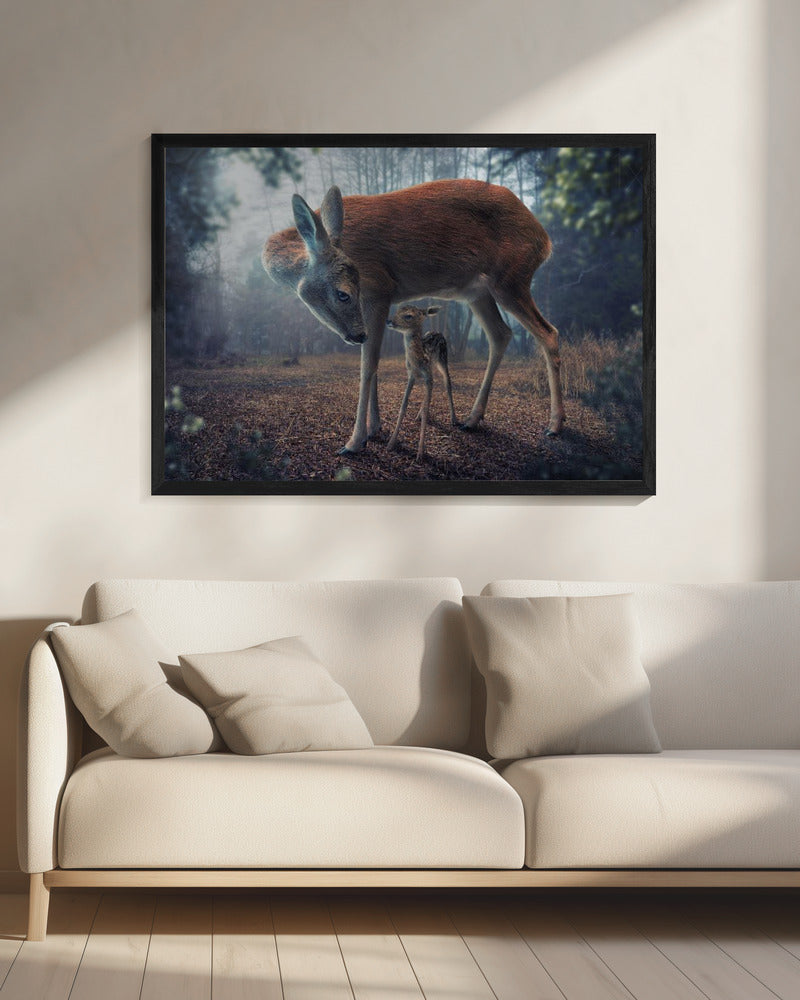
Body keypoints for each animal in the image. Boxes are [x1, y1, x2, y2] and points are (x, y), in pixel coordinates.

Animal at [386, 305, 457, 461]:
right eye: (397, 310)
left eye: (408, 316)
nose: (389, 321)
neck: (417, 360)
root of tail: (438, 331)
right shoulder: (411, 375)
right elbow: (403, 405)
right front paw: (391, 443)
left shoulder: (427, 375)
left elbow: (426, 408)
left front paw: (420, 453)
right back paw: (418, 415)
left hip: (442, 359)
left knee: (447, 382)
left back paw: (454, 419)